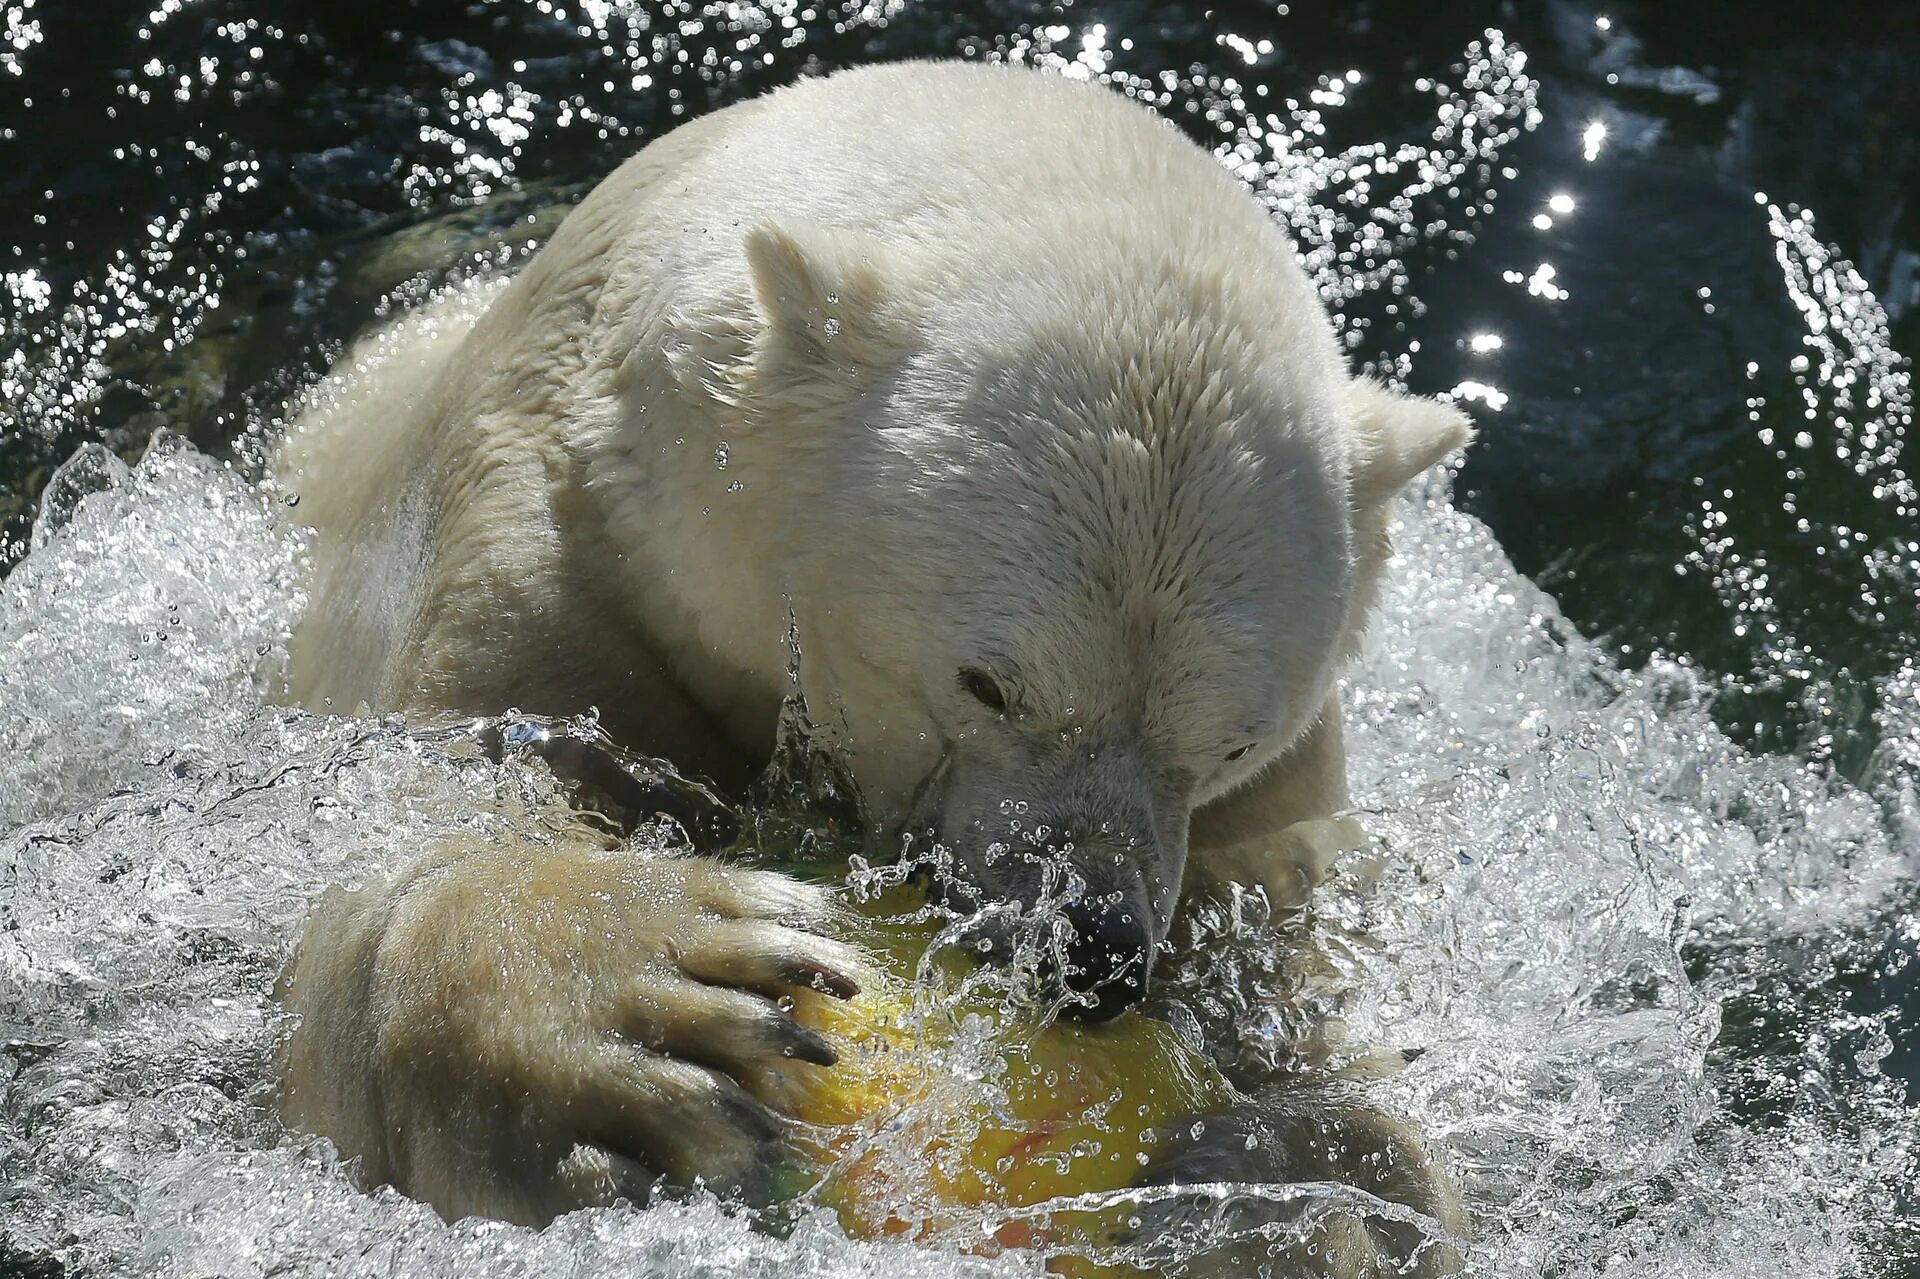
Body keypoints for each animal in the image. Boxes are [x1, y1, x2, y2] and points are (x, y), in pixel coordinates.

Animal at [270, 62, 1466, 1267]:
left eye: (1230, 743)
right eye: (989, 684)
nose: (1093, 948)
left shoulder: (1273, 815)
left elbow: (1315, 1012)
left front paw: (1264, 1185)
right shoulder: (546, 538)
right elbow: (429, 806)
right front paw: (645, 996)